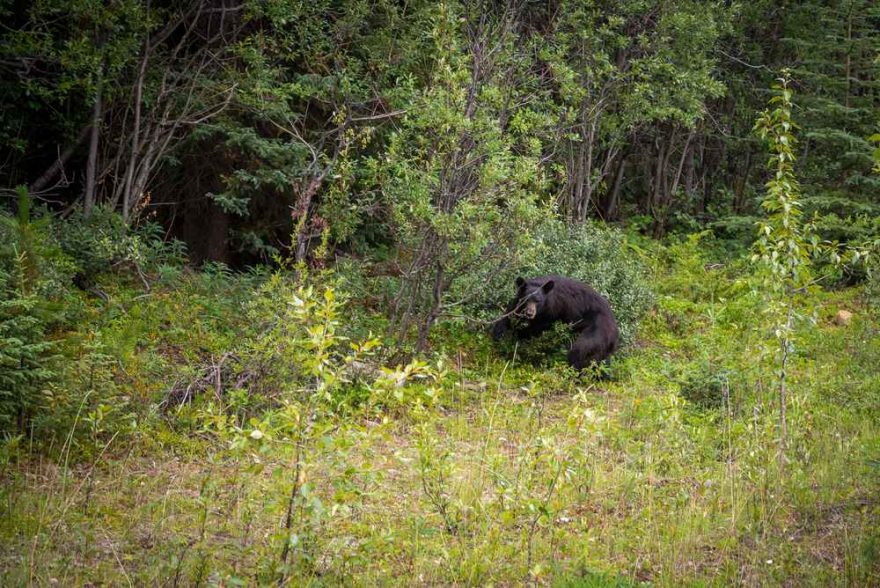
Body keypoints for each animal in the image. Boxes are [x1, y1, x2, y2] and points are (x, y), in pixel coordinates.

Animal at [491, 275, 620, 370]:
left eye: (538, 301)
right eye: (526, 300)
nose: (529, 313)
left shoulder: (552, 310)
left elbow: (536, 328)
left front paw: (518, 338)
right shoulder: (517, 304)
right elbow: (508, 316)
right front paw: (499, 336)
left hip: (598, 330)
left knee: (581, 350)